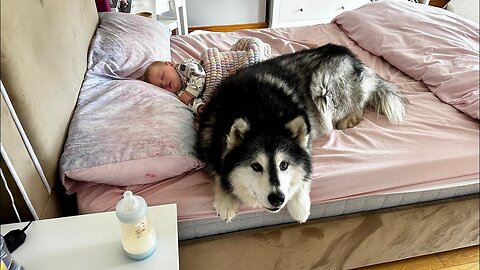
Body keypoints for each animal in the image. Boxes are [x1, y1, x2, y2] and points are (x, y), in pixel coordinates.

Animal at [197, 43, 406, 223]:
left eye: (284, 165)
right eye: (256, 166)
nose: (277, 198)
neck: (261, 113)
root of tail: (350, 55)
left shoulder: (306, 143)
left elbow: (304, 173)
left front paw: (299, 204)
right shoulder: (208, 139)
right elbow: (218, 172)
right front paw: (225, 200)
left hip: (323, 88)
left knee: (356, 107)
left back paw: (347, 121)